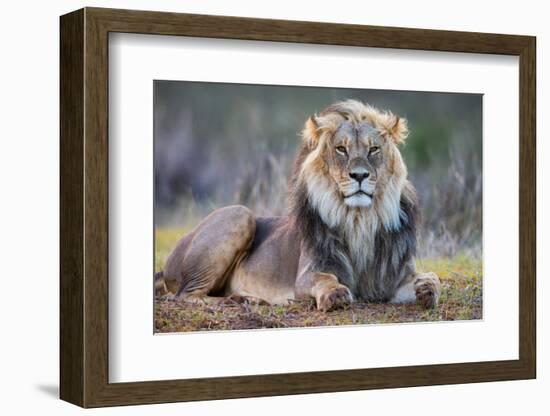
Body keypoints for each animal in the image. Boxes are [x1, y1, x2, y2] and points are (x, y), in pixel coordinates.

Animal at [157, 99, 442, 310]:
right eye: (341, 149)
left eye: (373, 149)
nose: (359, 175)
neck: (360, 219)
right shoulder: (308, 273)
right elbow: (324, 278)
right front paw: (336, 294)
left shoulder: (394, 276)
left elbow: (432, 277)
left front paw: (427, 288)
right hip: (240, 213)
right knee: (186, 295)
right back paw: (238, 300)